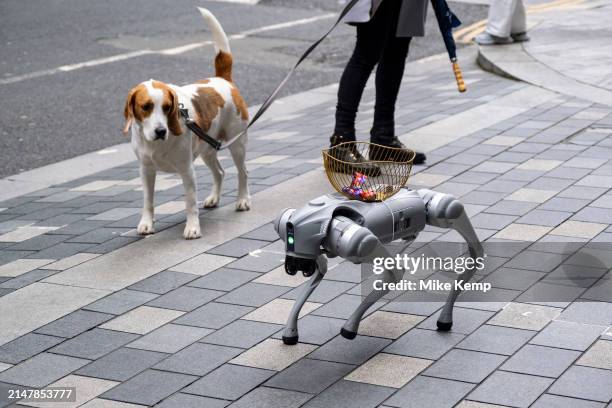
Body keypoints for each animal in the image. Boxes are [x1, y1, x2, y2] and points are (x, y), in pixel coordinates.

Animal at [123, 7, 250, 239]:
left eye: (167, 107)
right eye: (146, 106)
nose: (161, 131)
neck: (158, 145)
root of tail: (222, 80)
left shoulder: (187, 170)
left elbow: (190, 203)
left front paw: (192, 227)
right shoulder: (146, 171)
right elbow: (148, 201)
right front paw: (146, 223)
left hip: (237, 144)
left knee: (242, 172)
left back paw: (243, 200)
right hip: (207, 148)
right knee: (219, 172)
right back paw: (214, 198)